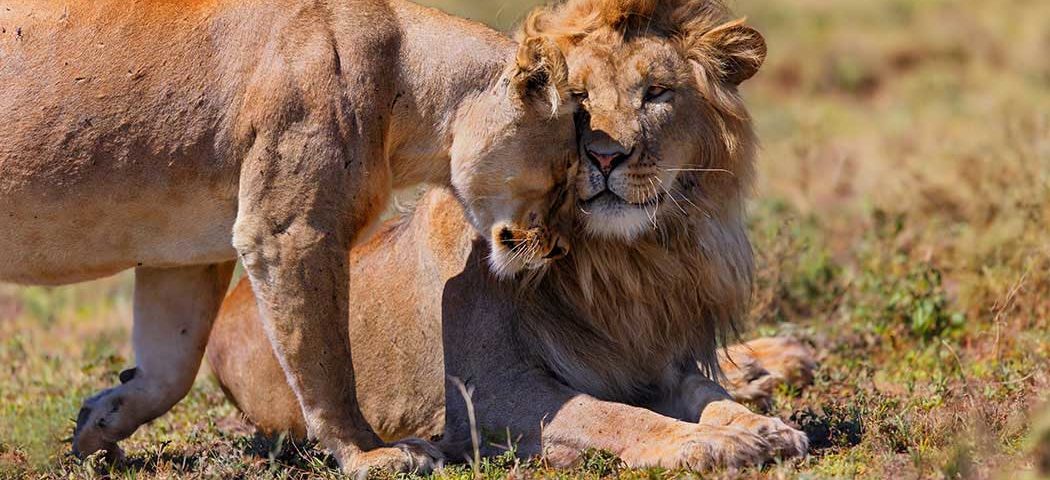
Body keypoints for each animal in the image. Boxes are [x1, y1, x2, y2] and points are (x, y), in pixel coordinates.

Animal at [0, 0, 579, 473]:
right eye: (565, 177)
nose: (559, 248)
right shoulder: (289, 233)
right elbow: (326, 362)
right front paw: (371, 453)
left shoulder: (185, 254)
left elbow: (170, 367)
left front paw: (98, 423)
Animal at [208, 0, 817, 470]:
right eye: (580, 99)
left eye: (657, 93)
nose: (605, 156)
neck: (623, 263)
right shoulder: (486, 396)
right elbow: (612, 415)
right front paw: (711, 442)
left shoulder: (657, 359)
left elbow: (708, 392)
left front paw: (759, 426)